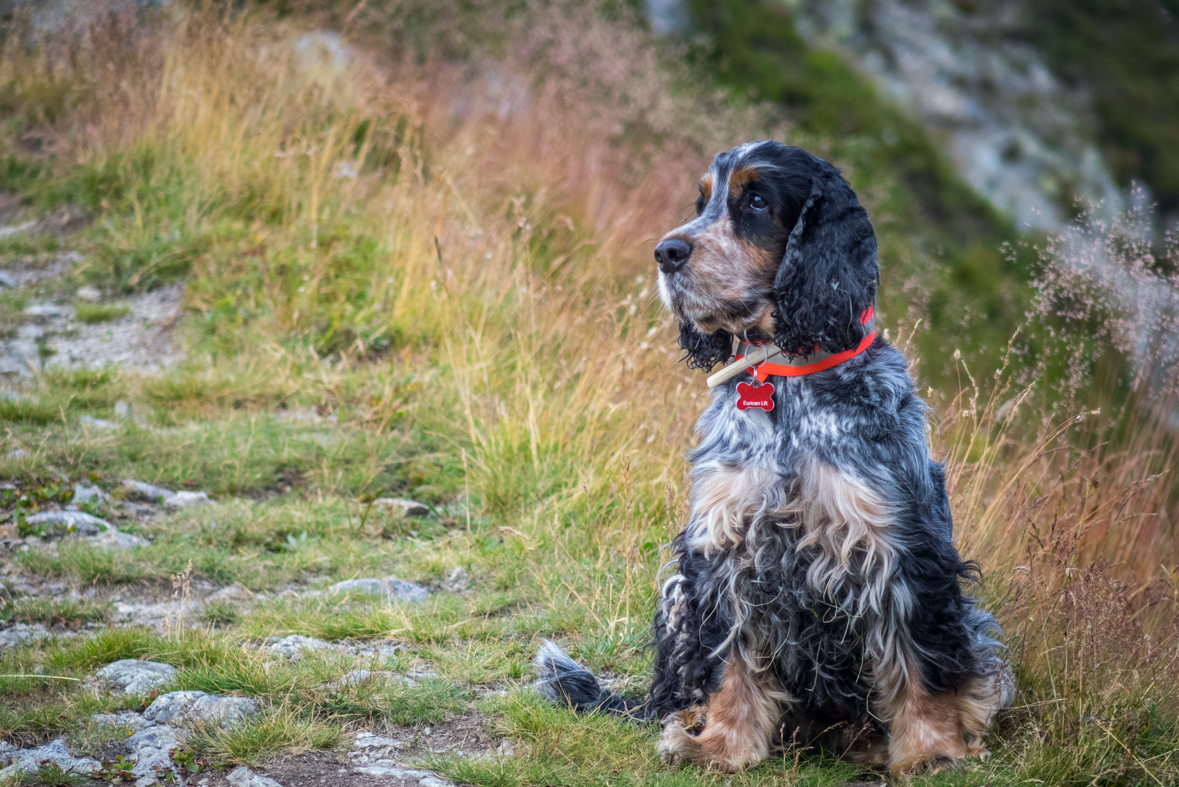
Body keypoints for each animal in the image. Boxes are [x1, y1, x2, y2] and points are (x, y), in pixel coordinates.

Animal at [535, 139, 1013, 772]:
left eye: (757, 200)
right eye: (703, 202)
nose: (666, 252)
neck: (783, 380)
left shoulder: (898, 546)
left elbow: (919, 663)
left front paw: (931, 751)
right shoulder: (726, 545)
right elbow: (731, 664)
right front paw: (719, 746)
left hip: (977, 623)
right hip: (678, 593)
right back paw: (685, 723)